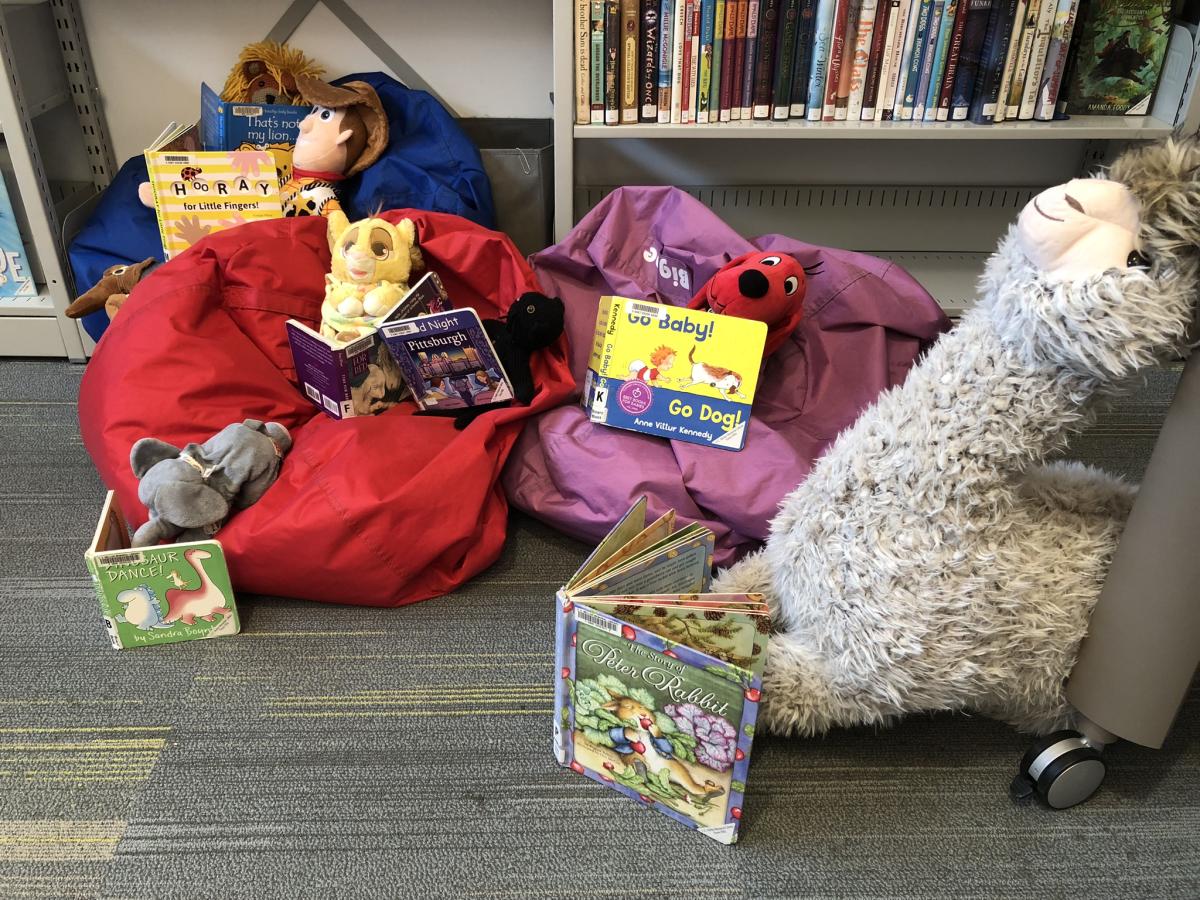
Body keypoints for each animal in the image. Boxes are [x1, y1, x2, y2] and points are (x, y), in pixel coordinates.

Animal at [552, 496, 768, 844]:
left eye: (640, 707)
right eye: (626, 707)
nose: (644, 716)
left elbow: (659, 740)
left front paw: (653, 730)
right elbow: (621, 736)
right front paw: (631, 733)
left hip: (681, 774)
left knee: (693, 788)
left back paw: (706, 793)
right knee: (662, 780)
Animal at [583, 297, 768, 451]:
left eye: (735, 383)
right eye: (730, 382)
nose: (715, 384)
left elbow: (736, 392)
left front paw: (740, 396)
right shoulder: (722, 387)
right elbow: (724, 394)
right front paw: (730, 398)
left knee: (688, 379)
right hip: (697, 379)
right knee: (689, 381)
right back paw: (682, 384)